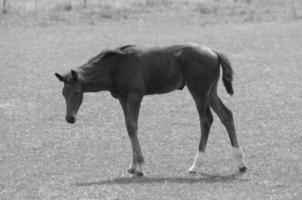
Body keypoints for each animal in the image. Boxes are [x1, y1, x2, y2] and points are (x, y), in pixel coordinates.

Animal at [55, 43, 247, 177]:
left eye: (77, 92)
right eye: (63, 94)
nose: (70, 118)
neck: (115, 67)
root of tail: (214, 52)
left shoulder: (135, 96)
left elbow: (133, 126)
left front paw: (140, 167)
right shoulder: (123, 98)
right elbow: (129, 127)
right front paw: (133, 166)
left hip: (199, 91)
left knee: (206, 119)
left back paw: (196, 165)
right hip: (211, 91)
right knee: (226, 115)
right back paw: (240, 163)